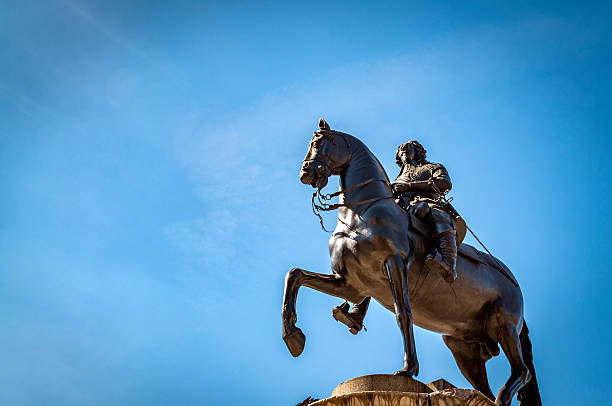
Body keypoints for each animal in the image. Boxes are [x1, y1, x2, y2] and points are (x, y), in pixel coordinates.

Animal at [280, 118, 540, 406]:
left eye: (318, 142)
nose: (305, 173)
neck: (362, 212)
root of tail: (514, 284)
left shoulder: (394, 263)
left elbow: (403, 313)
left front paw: (408, 369)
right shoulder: (351, 284)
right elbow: (295, 275)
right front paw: (294, 337)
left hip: (504, 324)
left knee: (522, 371)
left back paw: (502, 397)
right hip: (463, 347)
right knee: (486, 387)